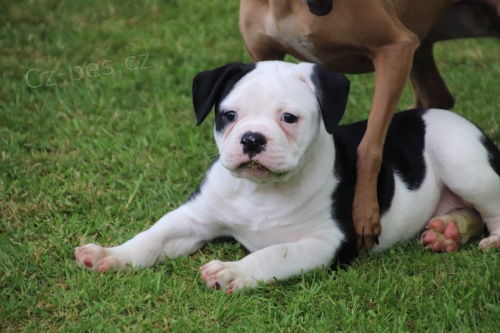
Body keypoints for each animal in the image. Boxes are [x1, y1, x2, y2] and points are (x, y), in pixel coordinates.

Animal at [74, 61, 500, 292]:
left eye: (289, 118)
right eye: (228, 115)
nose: (251, 138)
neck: (260, 190)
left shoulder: (328, 241)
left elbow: (274, 254)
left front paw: (233, 271)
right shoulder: (194, 219)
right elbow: (152, 237)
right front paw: (111, 255)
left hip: (463, 160)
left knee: (490, 208)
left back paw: (487, 241)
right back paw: (448, 231)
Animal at [239, 0, 500, 249]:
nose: (321, 7)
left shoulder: (396, 48)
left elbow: (368, 148)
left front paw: (365, 213)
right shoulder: (265, 58)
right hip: (424, 46)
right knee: (436, 98)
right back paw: (447, 231)